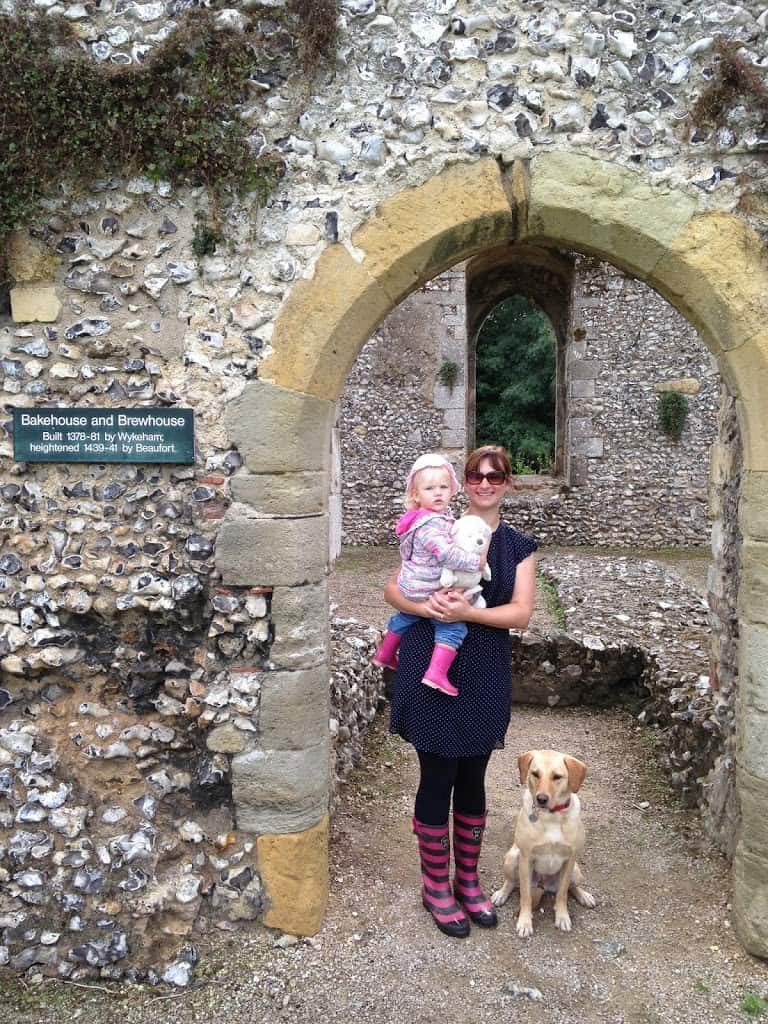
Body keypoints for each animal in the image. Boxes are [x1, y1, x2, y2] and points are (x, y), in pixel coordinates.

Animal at [493, 745, 593, 937]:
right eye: (535, 774)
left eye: (557, 777)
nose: (541, 799)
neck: (551, 816)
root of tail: (543, 885)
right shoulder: (526, 859)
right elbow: (525, 896)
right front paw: (525, 922)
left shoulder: (569, 860)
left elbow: (562, 893)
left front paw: (562, 917)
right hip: (512, 858)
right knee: (511, 882)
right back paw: (501, 894)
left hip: (576, 871)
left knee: (571, 887)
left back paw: (584, 895)